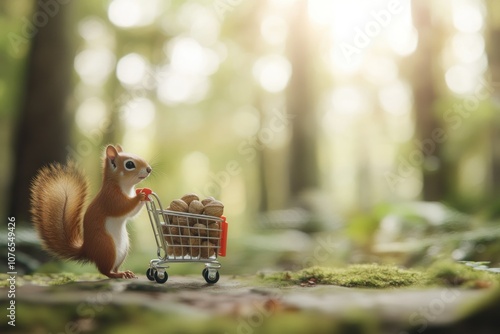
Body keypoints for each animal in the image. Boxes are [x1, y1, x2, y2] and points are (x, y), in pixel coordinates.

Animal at [30, 145, 151, 278]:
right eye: (129, 164)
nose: (149, 169)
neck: (125, 188)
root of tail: (88, 250)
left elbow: (132, 213)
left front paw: (143, 193)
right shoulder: (110, 197)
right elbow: (123, 207)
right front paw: (140, 196)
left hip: (122, 250)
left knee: (113, 268)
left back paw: (124, 272)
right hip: (106, 247)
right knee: (105, 271)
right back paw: (116, 275)